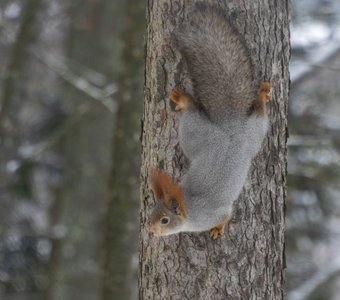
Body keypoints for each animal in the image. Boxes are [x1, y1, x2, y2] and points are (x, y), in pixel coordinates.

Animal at [147, 3, 272, 239]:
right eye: (152, 212)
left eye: (165, 220)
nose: (149, 229)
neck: (191, 212)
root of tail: (231, 125)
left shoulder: (216, 213)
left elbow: (226, 216)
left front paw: (218, 228)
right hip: (226, 133)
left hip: (222, 134)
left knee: (256, 113)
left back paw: (261, 96)